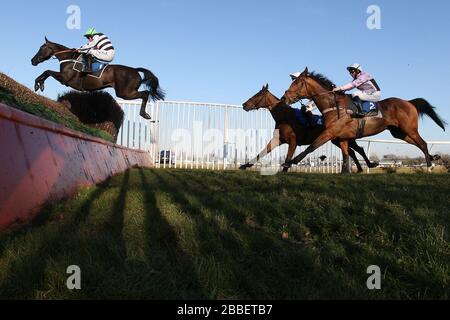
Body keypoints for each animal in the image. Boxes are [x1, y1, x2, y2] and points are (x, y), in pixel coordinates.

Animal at [31, 37, 165, 120]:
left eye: (41, 48)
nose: (33, 60)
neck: (69, 58)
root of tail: (135, 70)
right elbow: (47, 72)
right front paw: (39, 84)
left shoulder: (64, 79)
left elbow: (47, 71)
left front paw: (38, 84)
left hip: (124, 93)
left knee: (145, 93)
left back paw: (144, 114)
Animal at [241, 83, 378, 172]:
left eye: (257, 95)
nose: (244, 104)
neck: (285, 116)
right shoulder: (278, 139)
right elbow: (262, 152)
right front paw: (244, 165)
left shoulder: (293, 141)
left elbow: (288, 157)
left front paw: (285, 170)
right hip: (336, 140)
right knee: (353, 151)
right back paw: (360, 168)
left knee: (358, 149)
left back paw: (367, 165)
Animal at [282, 67, 446, 172]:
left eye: (297, 83)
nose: (284, 97)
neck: (333, 106)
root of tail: (409, 102)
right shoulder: (342, 137)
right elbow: (346, 154)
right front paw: (346, 172)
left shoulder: (330, 132)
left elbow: (312, 147)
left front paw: (289, 163)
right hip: (399, 133)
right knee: (419, 143)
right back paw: (433, 157)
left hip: (409, 129)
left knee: (422, 143)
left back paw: (430, 165)